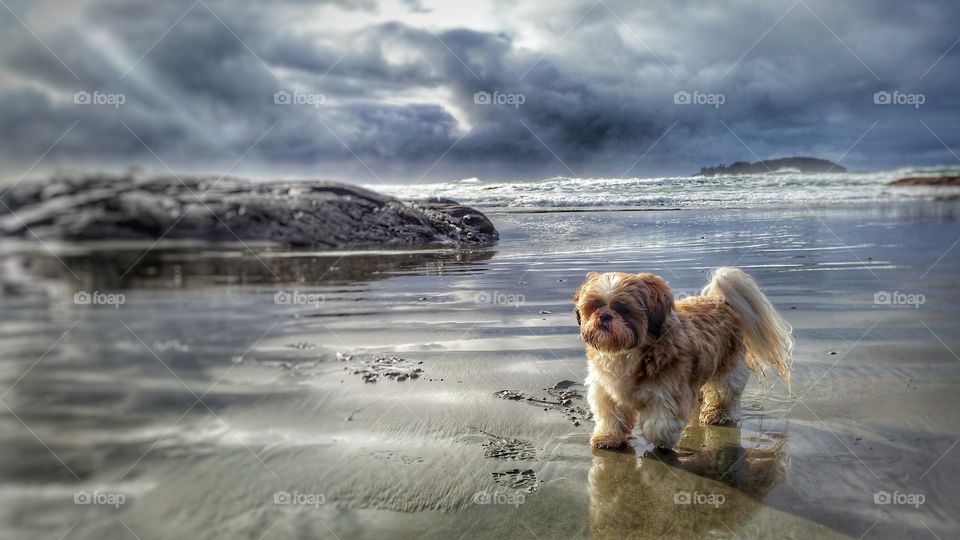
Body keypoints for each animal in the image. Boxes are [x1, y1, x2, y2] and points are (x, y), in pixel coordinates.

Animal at [572, 268, 792, 450]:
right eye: (594, 306)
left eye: (623, 309)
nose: (604, 316)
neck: (626, 352)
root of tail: (721, 302)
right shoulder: (606, 390)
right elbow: (610, 417)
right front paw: (608, 437)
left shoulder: (668, 391)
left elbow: (661, 422)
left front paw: (661, 440)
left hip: (727, 369)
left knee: (724, 393)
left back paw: (716, 413)